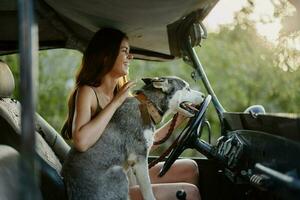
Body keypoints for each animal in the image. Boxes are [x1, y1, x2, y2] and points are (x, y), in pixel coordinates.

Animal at [62, 76, 205, 200]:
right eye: (187, 88)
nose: (204, 96)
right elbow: (148, 191)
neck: (147, 106)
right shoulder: (139, 158)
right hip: (119, 173)